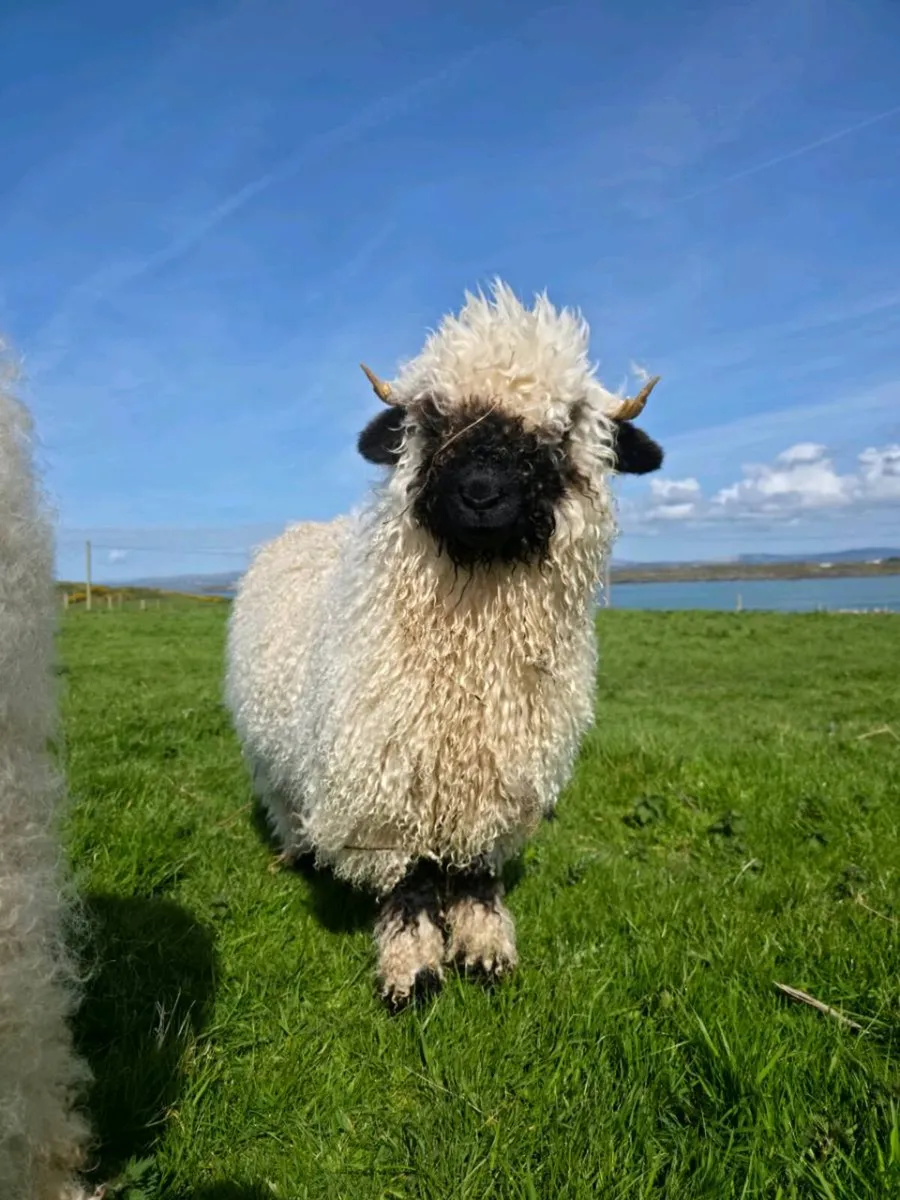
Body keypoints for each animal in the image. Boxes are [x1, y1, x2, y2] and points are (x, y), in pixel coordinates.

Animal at [225, 280, 665, 1009]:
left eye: (563, 429)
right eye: (432, 420)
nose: (481, 493)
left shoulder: (499, 776)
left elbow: (477, 875)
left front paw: (485, 948)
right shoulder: (382, 783)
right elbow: (411, 884)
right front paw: (412, 967)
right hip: (271, 751)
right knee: (283, 798)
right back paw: (295, 851)